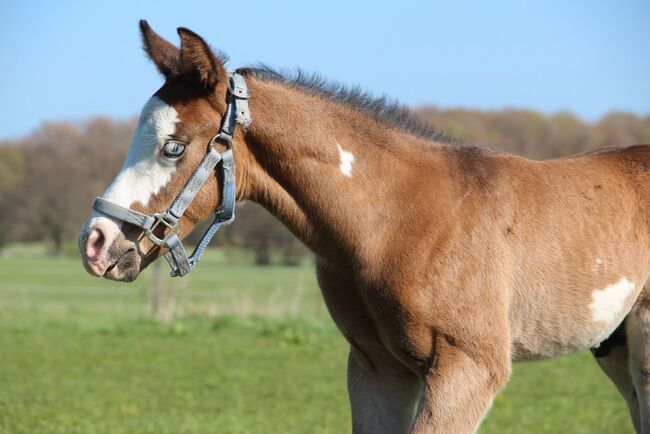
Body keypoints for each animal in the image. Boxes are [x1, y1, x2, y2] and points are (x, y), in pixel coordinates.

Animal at [78, 20, 650, 433]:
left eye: (174, 147)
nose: (95, 243)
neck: (396, 220)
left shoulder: (468, 369)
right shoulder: (378, 368)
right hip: (617, 350)